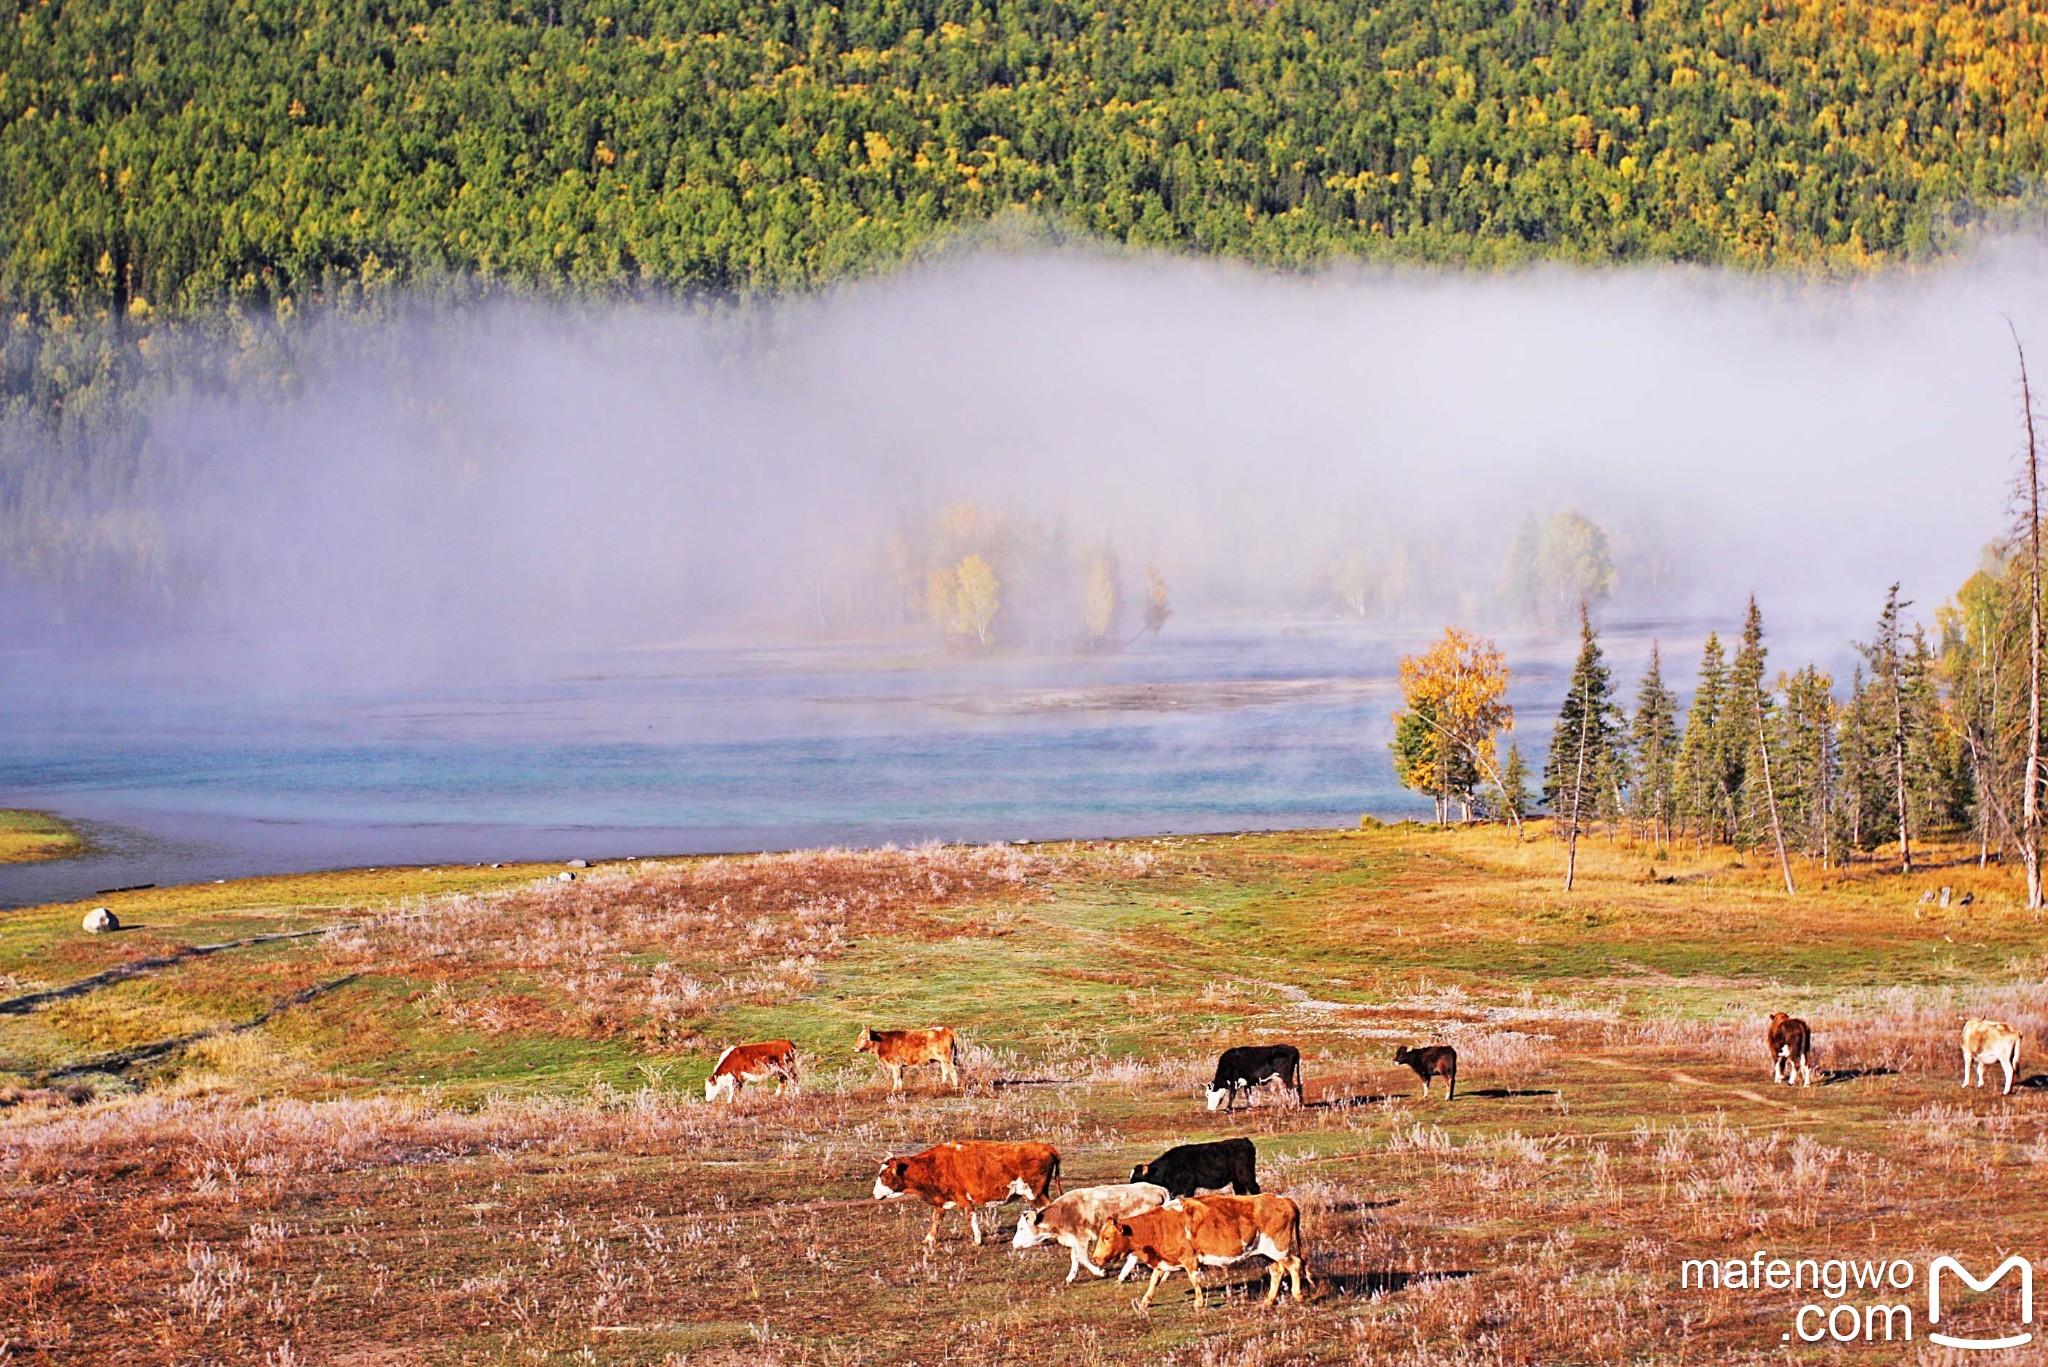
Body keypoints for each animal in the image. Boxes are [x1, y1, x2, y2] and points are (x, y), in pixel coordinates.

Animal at [868, 1139, 1064, 1246]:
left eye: (883, 1175)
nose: (874, 1194)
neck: (934, 1165)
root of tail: (1045, 1147)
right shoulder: (943, 1199)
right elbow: (936, 1219)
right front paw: (928, 1239)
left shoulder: (962, 1198)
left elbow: (971, 1217)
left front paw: (977, 1240)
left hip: (1035, 1193)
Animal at [1007, 1180, 1171, 1287]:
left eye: (1021, 1228)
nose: (1013, 1243)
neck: (1062, 1213)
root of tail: (1159, 1190)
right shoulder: (1073, 1240)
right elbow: (1074, 1258)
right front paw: (1070, 1278)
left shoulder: (1081, 1239)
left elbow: (1082, 1258)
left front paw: (1100, 1272)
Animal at [1089, 1188, 1310, 1311]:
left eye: (1107, 1237)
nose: (1094, 1259)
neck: (1158, 1225)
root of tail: (1284, 1200)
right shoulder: (1163, 1261)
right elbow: (1153, 1281)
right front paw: (1144, 1302)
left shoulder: (1190, 1259)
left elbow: (1194, 1280)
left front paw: (1199, 1302)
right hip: (1268, 1253)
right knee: (1277, 1271)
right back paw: (1269, 1301)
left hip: (1279, 1250)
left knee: (1295, 1264)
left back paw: (1298, 1294)